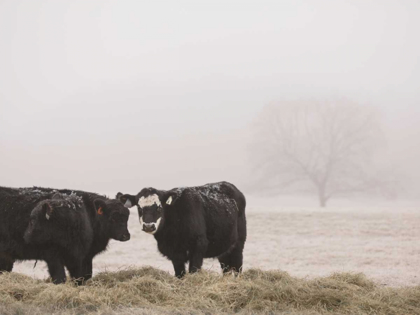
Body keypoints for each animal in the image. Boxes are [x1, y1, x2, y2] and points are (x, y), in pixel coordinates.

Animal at [118, 181, 246, 278]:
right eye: (139, 208)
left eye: (159, 207)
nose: (148, 226)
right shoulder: (175, 253)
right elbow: (180, 274)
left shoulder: (198, 246)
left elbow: (193, 271)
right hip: (224, 247)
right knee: (226, 268)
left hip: (238, 244)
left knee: (237, 267)